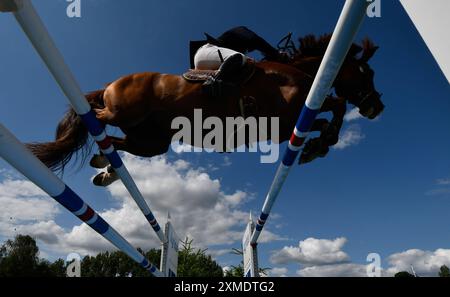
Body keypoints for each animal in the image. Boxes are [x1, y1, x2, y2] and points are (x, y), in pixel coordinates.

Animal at [29, 34, 384, 186]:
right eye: (366, 72)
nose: (377, 107)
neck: (296, 75)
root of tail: (109, 84)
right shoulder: (287, 118)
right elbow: (336, 105)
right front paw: (321, 145)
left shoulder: (287, 127)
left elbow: (325, 117)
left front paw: (316, 146)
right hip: (123, 113)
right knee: (98, 117)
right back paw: (99, 145)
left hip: (153, 141)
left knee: (119, 143)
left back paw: (104, 168)